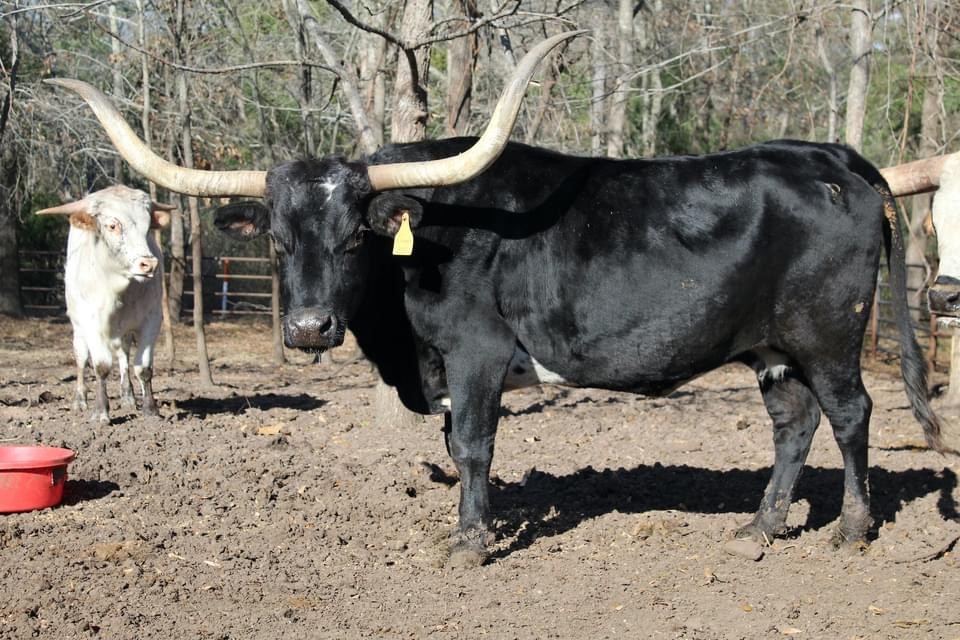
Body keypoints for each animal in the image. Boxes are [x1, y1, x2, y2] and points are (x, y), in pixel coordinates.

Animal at [36, 185, 173, 423]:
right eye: (113, 225)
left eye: (148, 227)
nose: (148, 264)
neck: (120, 289)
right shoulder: (92, 323)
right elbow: (101, 366)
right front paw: (101, 411)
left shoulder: (152, 320)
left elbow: (143, 367)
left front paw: (150, 409)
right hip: (78, 326)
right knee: (82, 359)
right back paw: (80, 400)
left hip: (124, 331)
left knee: (124, 355)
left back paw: (128, 396)